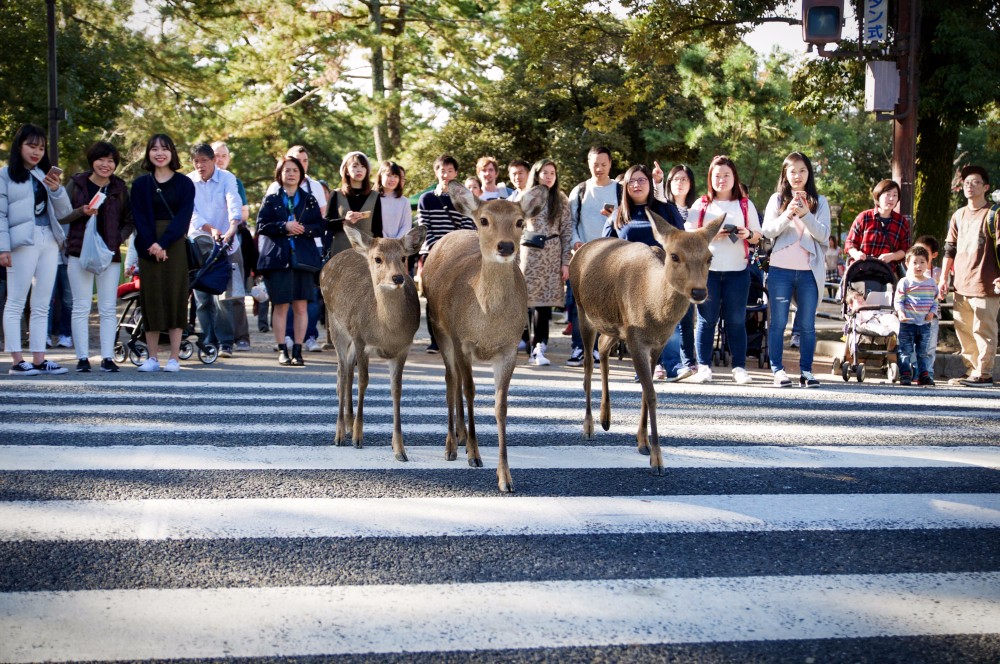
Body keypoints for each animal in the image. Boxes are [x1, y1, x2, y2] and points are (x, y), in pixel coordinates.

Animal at [320, 223, 426, 462]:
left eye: (403, 257)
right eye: (378, 258)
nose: (398, 278)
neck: (385, 331)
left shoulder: (403, 349)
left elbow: (396, 389)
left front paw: (399, 449)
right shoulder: (361, 341)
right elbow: (363, 382)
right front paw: (358, 438)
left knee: (346, 371)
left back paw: (348, 425)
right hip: (336, 325)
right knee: (342, 373)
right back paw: (340, 434)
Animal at [420, 179, 548, 490]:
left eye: (519, 221)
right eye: (484, 220)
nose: (505, 246)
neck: (488, 323)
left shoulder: (509, 348)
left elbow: (501, 406)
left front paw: (505, 477)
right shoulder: (462, 340)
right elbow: (469, 390)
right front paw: (474, 455)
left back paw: (461, 437)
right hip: (441, 330)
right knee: (451, 382)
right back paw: (452, 445)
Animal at [568, 210, 724, 474]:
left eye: (709, 257)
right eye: (674, 255)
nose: (699, 292)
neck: (655, 312)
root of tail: (579, 250)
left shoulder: (656, 343)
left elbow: (645, 389)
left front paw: (642, 442)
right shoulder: (636, 339)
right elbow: (650, 394)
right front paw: (657, 459)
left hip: (615, 325)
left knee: (603, 348)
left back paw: (606, 418)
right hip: (583, 311)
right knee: (588, 366)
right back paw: (588, 426)